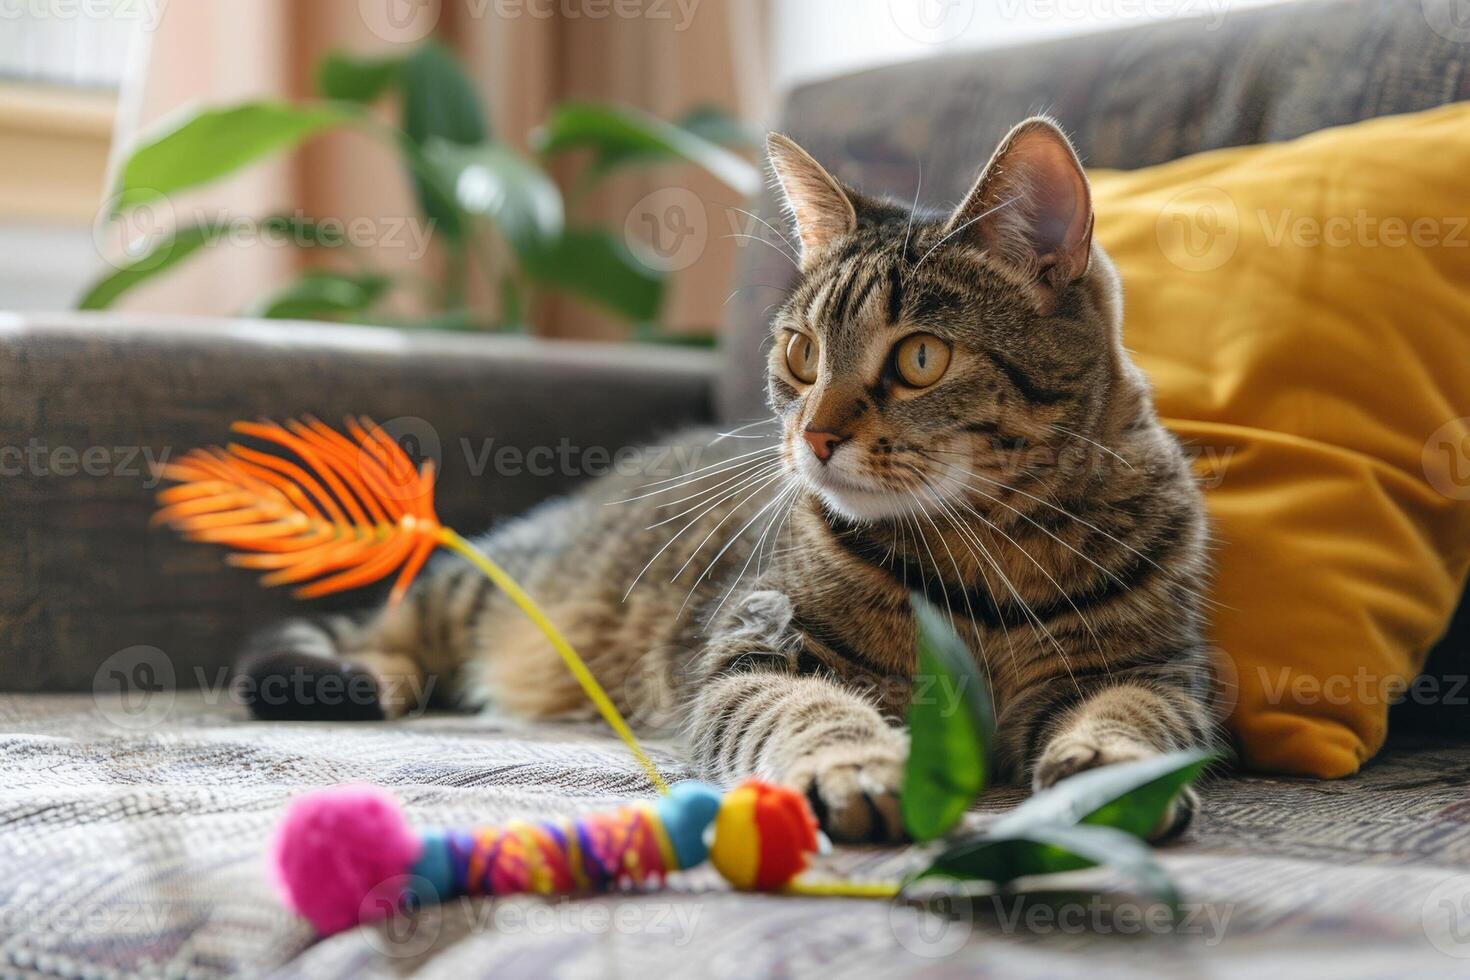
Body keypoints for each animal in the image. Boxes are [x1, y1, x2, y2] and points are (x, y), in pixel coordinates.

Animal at [238, 119, 1217, 846]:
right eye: (801, 353)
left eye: (921, 359)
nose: (815, 435)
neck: (988, 559)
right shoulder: (759, 648)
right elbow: (809, 710)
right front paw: (856, 765)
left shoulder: (1166, 670)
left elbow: (1138, 715)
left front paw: (1109, 775)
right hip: (491, 584)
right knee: (388, 622)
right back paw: (371, 677)